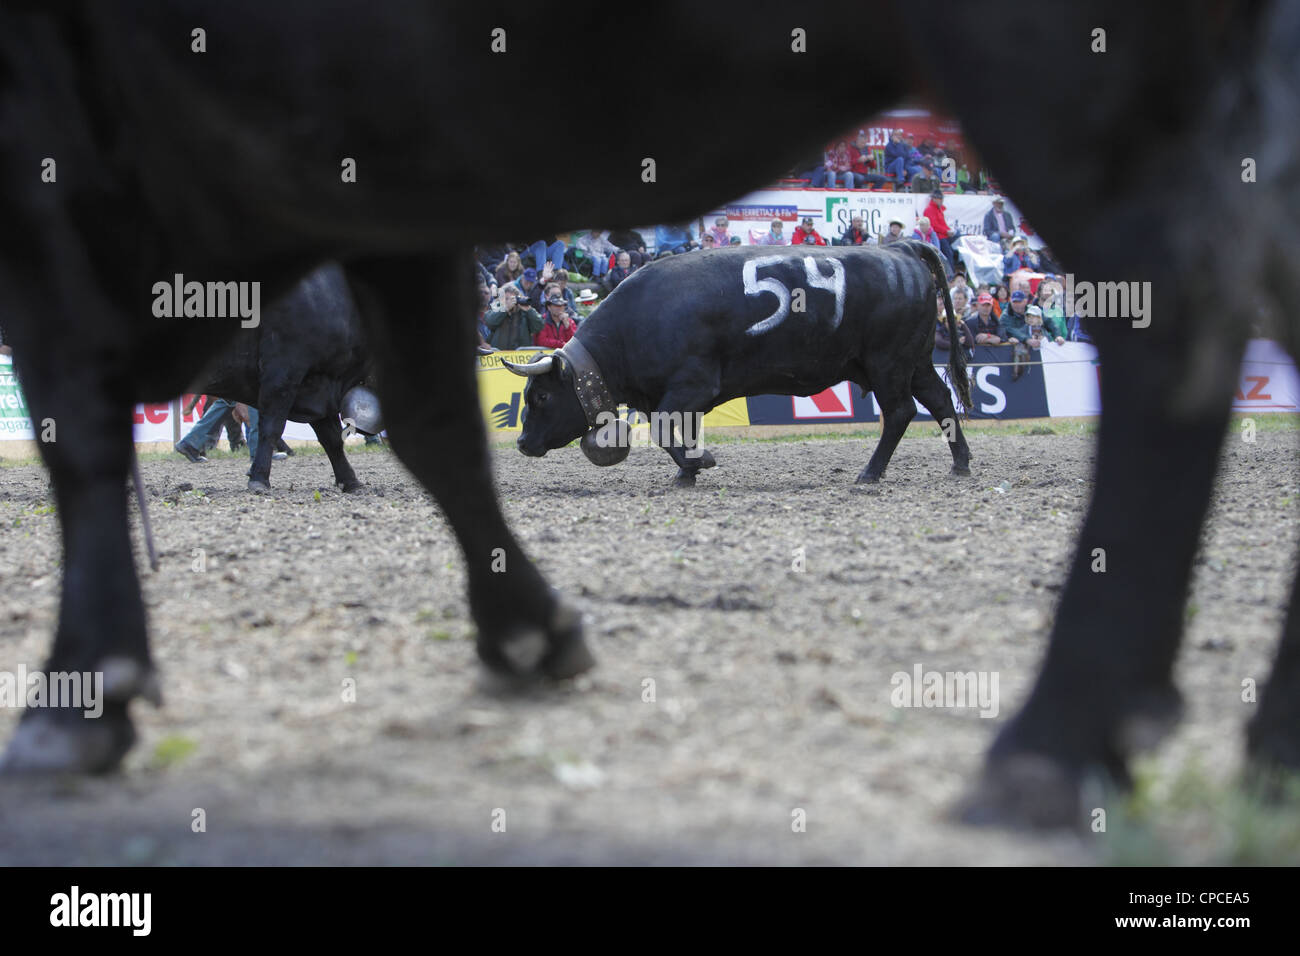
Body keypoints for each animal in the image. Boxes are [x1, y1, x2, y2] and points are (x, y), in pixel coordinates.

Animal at [501, 239, 972, 486]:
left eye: (541, 396)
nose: (522, 442)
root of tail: (898, 248)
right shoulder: (674, 395)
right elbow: (679, 430)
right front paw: (686, 473)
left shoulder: (692, 384)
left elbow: (665, 428)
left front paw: (699, 464)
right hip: (917, 362)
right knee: (941, 403)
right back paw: (960, 464)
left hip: (888, 363)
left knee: (901, 412)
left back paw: (870, 473)